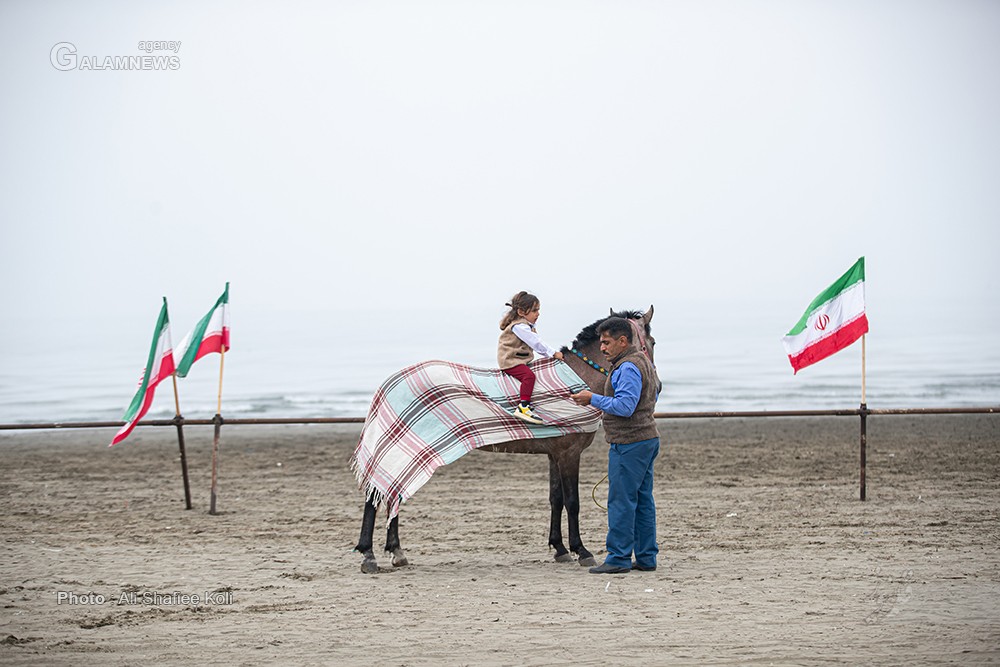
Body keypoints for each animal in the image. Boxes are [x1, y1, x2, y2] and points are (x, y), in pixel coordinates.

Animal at [354, 306, 656, 574]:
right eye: (652, 341)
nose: (657, 384)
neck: (576, 377)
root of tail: (389, 383)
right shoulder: (569, 453)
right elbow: (572, 502)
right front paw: (581, 551)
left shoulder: (555, 454)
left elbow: (555, 498)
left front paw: (559, 549)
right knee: (375, 498)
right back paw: (369, 555)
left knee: (390, 495)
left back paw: (396, 552)